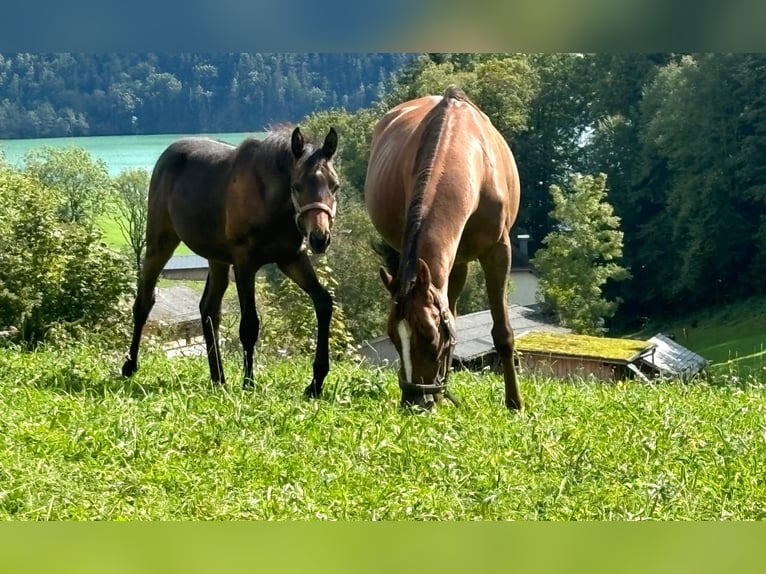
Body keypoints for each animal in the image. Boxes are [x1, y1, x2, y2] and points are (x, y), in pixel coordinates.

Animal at [122, 125, 340, 398]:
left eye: (335, 186)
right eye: (297, 186)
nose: (320, 238)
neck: (270, 202)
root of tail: (168, 154)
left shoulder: (292, 259)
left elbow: (323, 302)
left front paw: (316, 382)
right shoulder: (245, 263)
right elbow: (249, 325)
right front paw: (249, 382)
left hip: (216, 259)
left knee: (209, 309)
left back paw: (218, 378)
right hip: (160, 244)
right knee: (144, 302)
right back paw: (130, 365)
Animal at [364, 84, 520, 410]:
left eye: (429, 334)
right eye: (392, 336)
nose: (414, 400)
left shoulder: (499, 251)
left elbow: (502, 332)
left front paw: (515, 404)